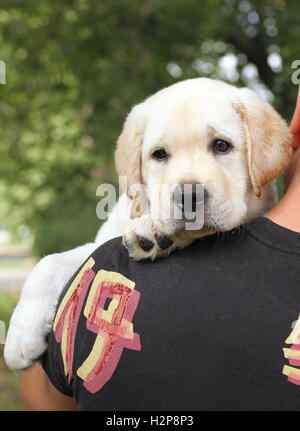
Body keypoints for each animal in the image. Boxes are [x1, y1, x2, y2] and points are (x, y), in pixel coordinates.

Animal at [4, 78, 290, 372]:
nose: (189, 196)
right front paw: (20, 337)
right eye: (159, 154)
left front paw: (154, 230)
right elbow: (47, 262)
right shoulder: (99, 243)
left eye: (221, 145)